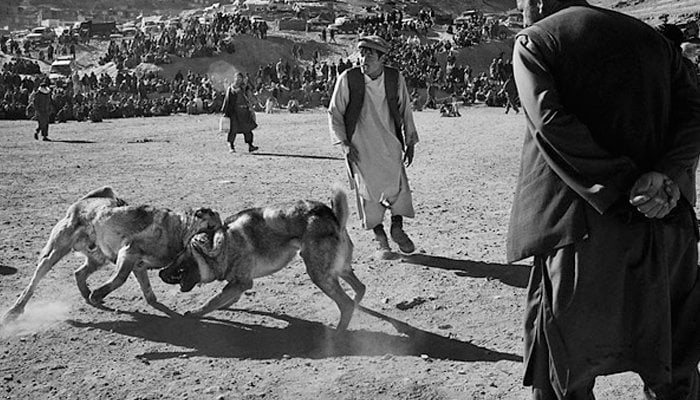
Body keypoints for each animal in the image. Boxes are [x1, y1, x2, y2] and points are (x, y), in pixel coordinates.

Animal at [1, 186, 220, 324]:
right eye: (211, 227)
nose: (217, 243)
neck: (178, 229)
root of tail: (82, 202)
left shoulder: (138, 265)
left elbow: (148, 292)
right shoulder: (128, 253)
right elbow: (120, 279)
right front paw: (99, 293)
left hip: (98, 257)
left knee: (79, 273)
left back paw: (86, 294)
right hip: (56, 251)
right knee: (35, 280)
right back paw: (15, 310)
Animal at [159, 189, 366, 330]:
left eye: (178, 257)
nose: (160, 273)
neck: (222, 243)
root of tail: (334, 216)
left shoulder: (242, 283)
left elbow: (212, 301)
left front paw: (195, 313)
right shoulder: (237, 283)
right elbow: (224, 299)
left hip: (319, 274)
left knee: (346, 304)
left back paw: (338, 333)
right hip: (339, 269)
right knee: (360, 288)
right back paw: (357, 306)